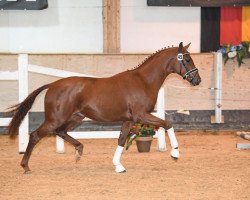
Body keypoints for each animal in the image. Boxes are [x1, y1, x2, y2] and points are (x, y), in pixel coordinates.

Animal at [6, 42, 201, 173]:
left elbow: (121, 140)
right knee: (36, 135)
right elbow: (168, 124)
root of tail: (53, 84)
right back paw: (25, 166)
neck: (143, 81)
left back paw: (79, 150)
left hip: (75, 117)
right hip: (56, 118)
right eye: (187, 59)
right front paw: (175, 153)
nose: (197, 80)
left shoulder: (129, 120)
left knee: (60, 132)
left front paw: (118, 166)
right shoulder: (141, 116)